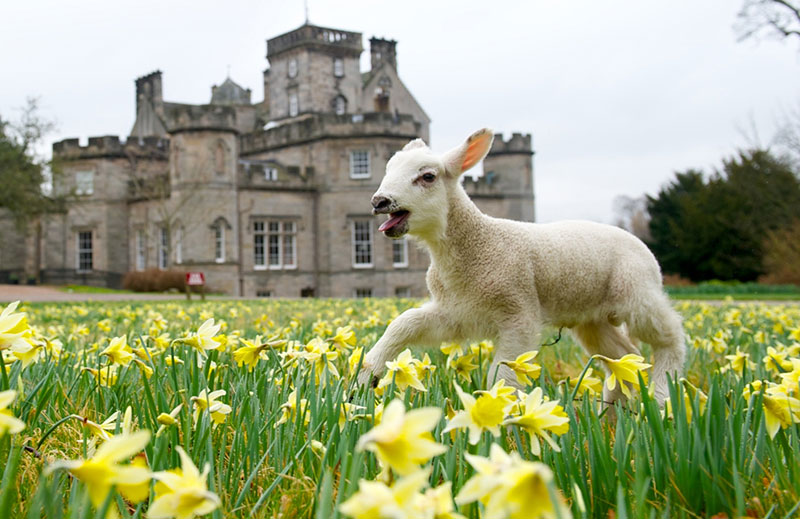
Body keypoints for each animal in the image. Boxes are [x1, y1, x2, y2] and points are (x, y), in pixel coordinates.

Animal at [358, 128, 685, 406]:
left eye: (427, 177)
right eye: (388, 170)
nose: (378, 201)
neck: (476, 245)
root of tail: (639, 243)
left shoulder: (518, 313)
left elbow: (501, 375)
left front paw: (498, 410)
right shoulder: (457, 311)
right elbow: (405, 323)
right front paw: (368, 374)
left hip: (638, 294)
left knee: (671, 337)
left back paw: (662, 397)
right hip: (593, 318)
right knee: (623, 358)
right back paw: (614, 414)